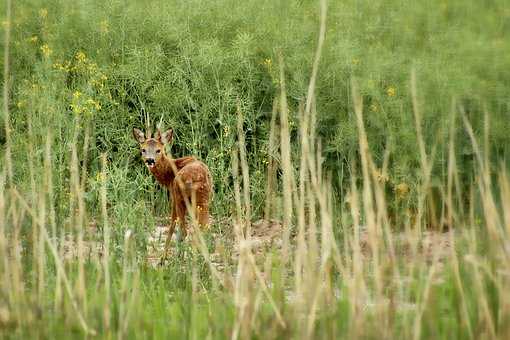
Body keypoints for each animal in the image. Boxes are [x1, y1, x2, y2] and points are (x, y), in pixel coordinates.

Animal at [132, 127, 212, 260]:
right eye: (143, 150)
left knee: (184, 230)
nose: (150, 160)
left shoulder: (173, 196)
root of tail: (194, 179)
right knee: (202, 227)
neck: (170, 173)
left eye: (158, 150)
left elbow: (173, 225)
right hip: (204, 200)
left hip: (181, 197)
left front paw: (164, 258)